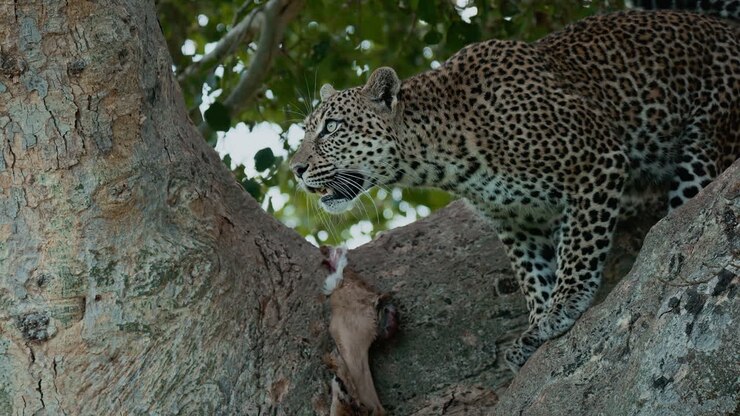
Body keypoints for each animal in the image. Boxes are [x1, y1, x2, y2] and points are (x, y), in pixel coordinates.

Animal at [290, 8, 739, 371]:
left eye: (331, 128)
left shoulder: (597, 160)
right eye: (308, 130)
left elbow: (579, 251)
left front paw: (564, 306)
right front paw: (537, 326)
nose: (295, 169)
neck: (443, 154)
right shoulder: (516, 220)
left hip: (705, 138)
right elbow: (533, 275)